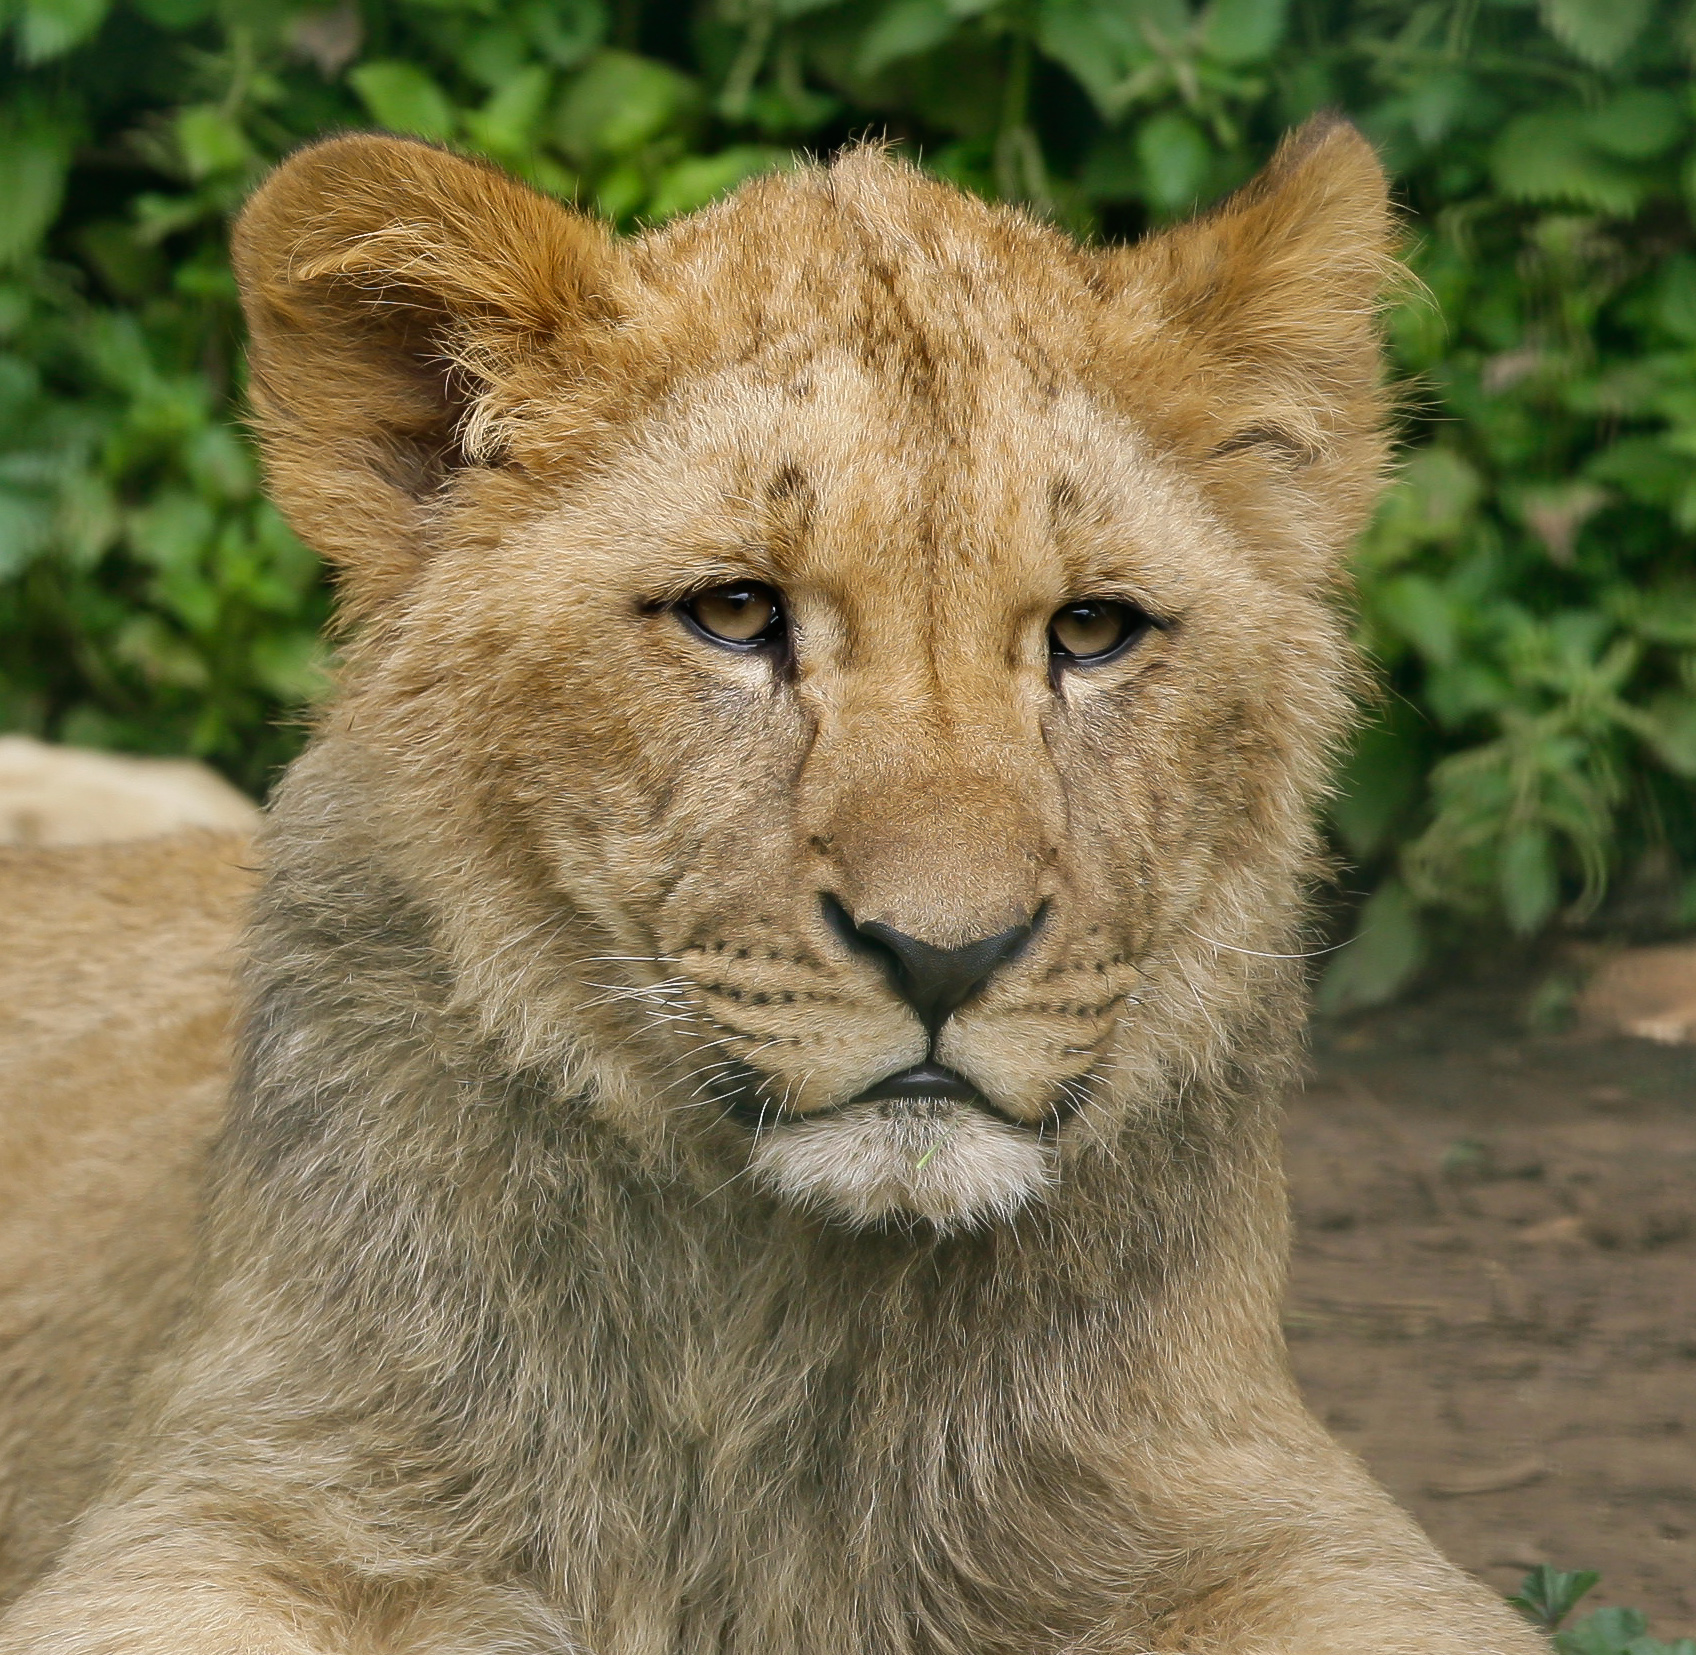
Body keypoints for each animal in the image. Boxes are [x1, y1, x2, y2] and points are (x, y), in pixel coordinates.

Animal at [0, 123, 1548, 1654]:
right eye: (735, 613)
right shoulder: (242, 1492)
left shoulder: (1276, 1507)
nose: (944, 955)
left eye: (1094, 631)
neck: (762, 1326)